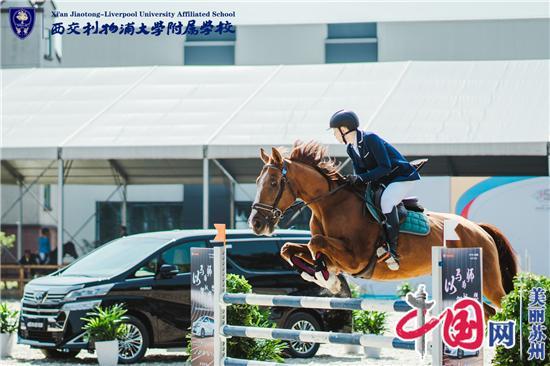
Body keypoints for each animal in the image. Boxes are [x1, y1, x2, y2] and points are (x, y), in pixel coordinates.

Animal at [251, 140, 520, 318]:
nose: (256, 223)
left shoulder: (356, 258)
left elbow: (315, 242)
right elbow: (290, 248)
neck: (330, 205)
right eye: (257, 181)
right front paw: (323, 276)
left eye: (273, 183)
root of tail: (479, 229)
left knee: (504, 305)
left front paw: (327, 278)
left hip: (488, 281)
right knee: (487, 311)